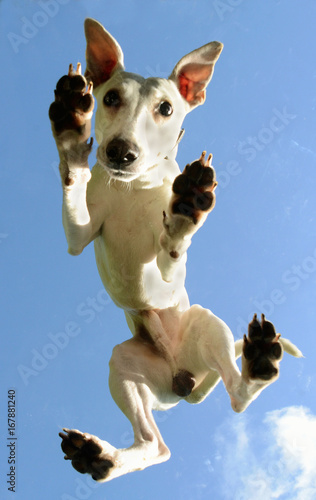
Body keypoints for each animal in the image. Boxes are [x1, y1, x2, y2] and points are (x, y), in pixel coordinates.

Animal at [48, 17, 302, 482]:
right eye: (109, 97)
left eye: (166, 109)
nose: (121, 153)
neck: (134, 188)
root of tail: (182, 381)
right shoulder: (78, 236)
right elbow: (73, 181)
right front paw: (72, 129)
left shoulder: (164, 280)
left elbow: (170, 250)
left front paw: (186, 210)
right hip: (124, 367)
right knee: (156, 446)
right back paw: (99, 457)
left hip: (207, 327)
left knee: (238, 395)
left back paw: (258, 360)